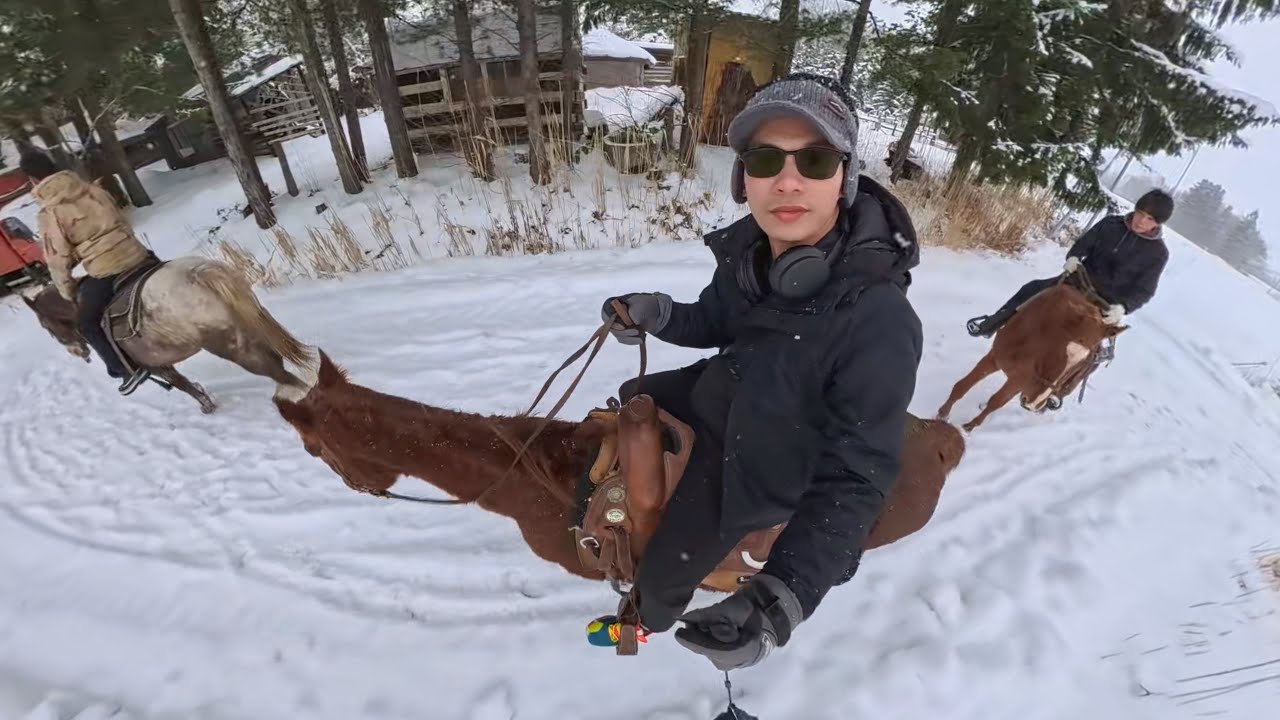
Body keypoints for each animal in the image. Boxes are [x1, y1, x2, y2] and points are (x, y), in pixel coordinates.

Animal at [21, 256, 313, 414]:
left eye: (46, 326)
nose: (77, 352)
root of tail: (198, 273)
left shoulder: (155, 366)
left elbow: (181, 384)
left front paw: (206, 405)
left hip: (230, 346)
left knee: (278, 372)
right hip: (249, 327)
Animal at [937, 274, 1127, 432]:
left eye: (1085, 362)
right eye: (1060, 350)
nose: (1033, 402)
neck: (1031, 341)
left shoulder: (1020, 380)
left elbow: (996, 402)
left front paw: (968, 428)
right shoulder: (994, 358)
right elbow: (962, 386)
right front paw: (942, 415)